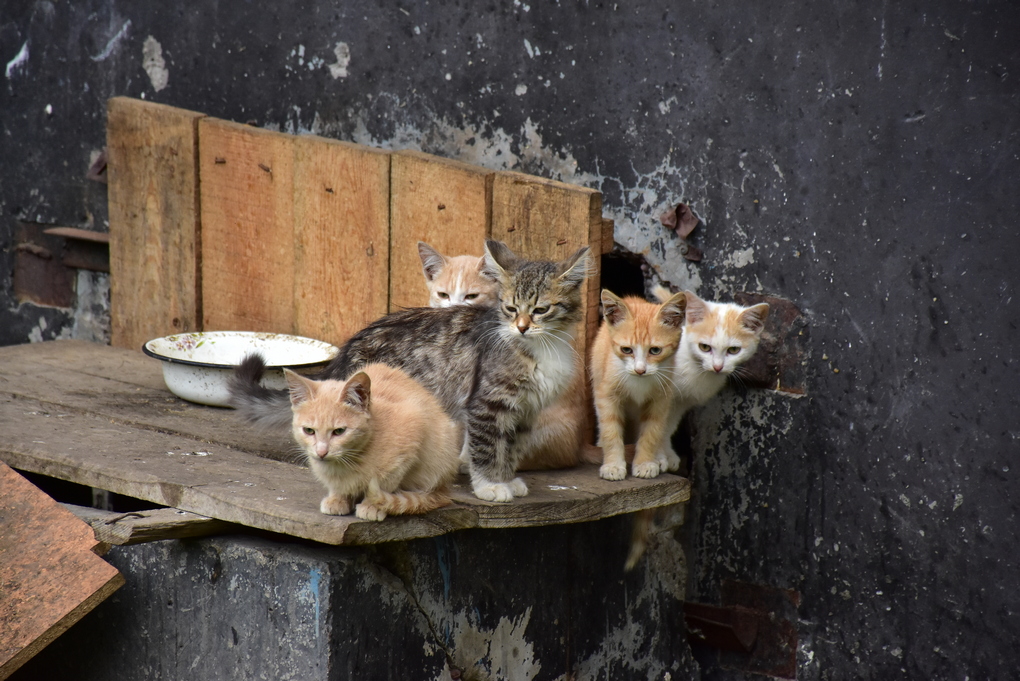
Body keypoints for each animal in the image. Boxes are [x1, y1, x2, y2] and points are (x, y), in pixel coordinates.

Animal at [228, 238, 591, 499]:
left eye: (541, 310)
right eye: (511, 308)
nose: (522, 327)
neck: (544, 347)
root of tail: (345, 356)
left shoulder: (525, 410)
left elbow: (510, 449)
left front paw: (507, 479)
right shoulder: (486, 404)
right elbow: (487, 448)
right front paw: (490, 485)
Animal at [287, 364, 463, 517]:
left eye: (339, 431)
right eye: (309, 430)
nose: (321, 452)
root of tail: (445, 488)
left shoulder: (412, 431)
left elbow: (383, 483)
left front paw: (371, 506)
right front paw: (338, 498)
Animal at [587, 287, 689, 479]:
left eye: (655, 350)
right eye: (626, 349)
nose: (640, 370)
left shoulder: (661, 398)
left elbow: (652, 431)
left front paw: (645, 463)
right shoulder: (606, 394)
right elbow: (610, 429)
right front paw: (613, 465)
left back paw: (660, 457)